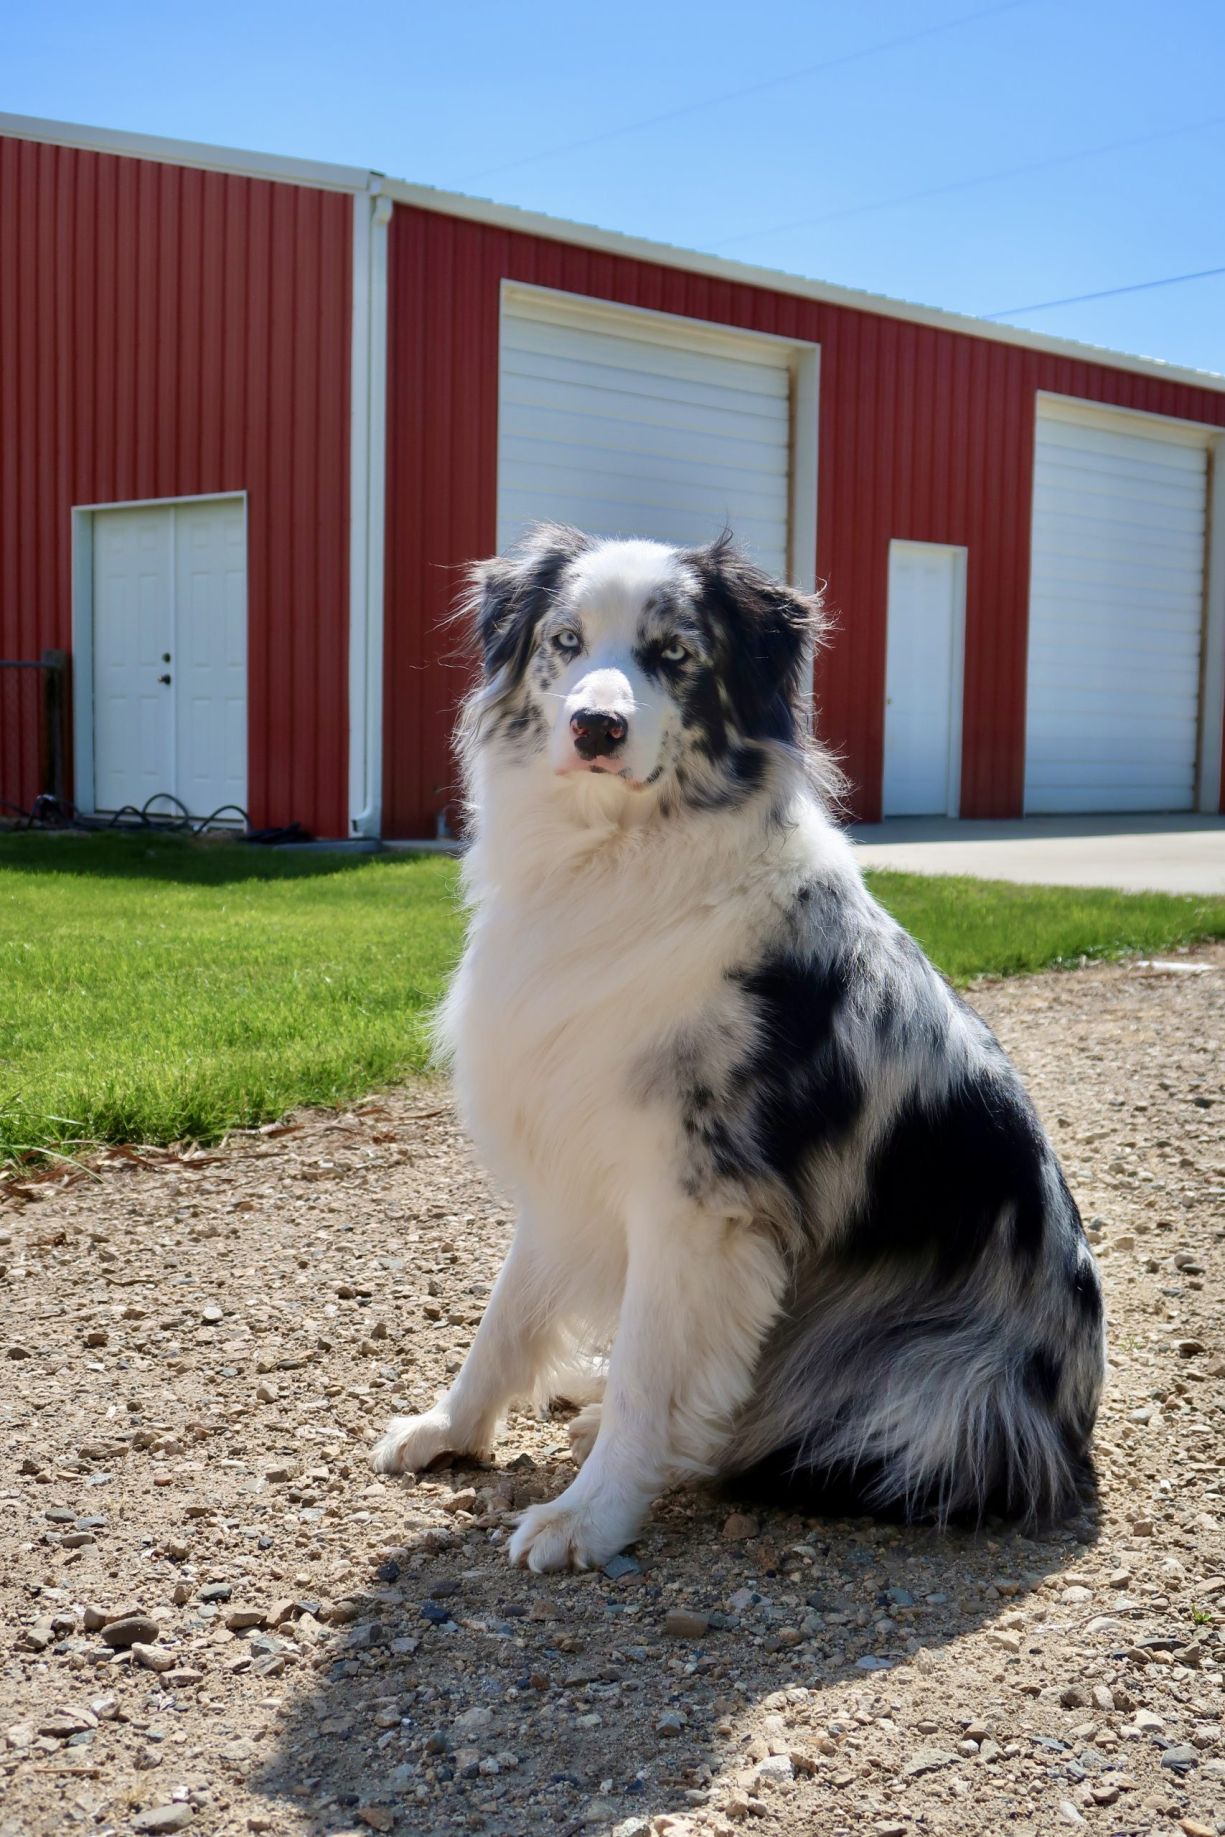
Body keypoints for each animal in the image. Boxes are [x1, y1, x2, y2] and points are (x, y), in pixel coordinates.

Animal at [369, 525, 1109, 1572]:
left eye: (674, 653)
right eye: (564, 641)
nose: (595, 727)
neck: (615, 861)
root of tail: (1065, 1431)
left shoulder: (697, 1198)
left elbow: (651, 1372)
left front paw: (588, 1516)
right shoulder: (568, 1139)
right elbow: (505, 1316)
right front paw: (451, 1428)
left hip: (939, 1394)